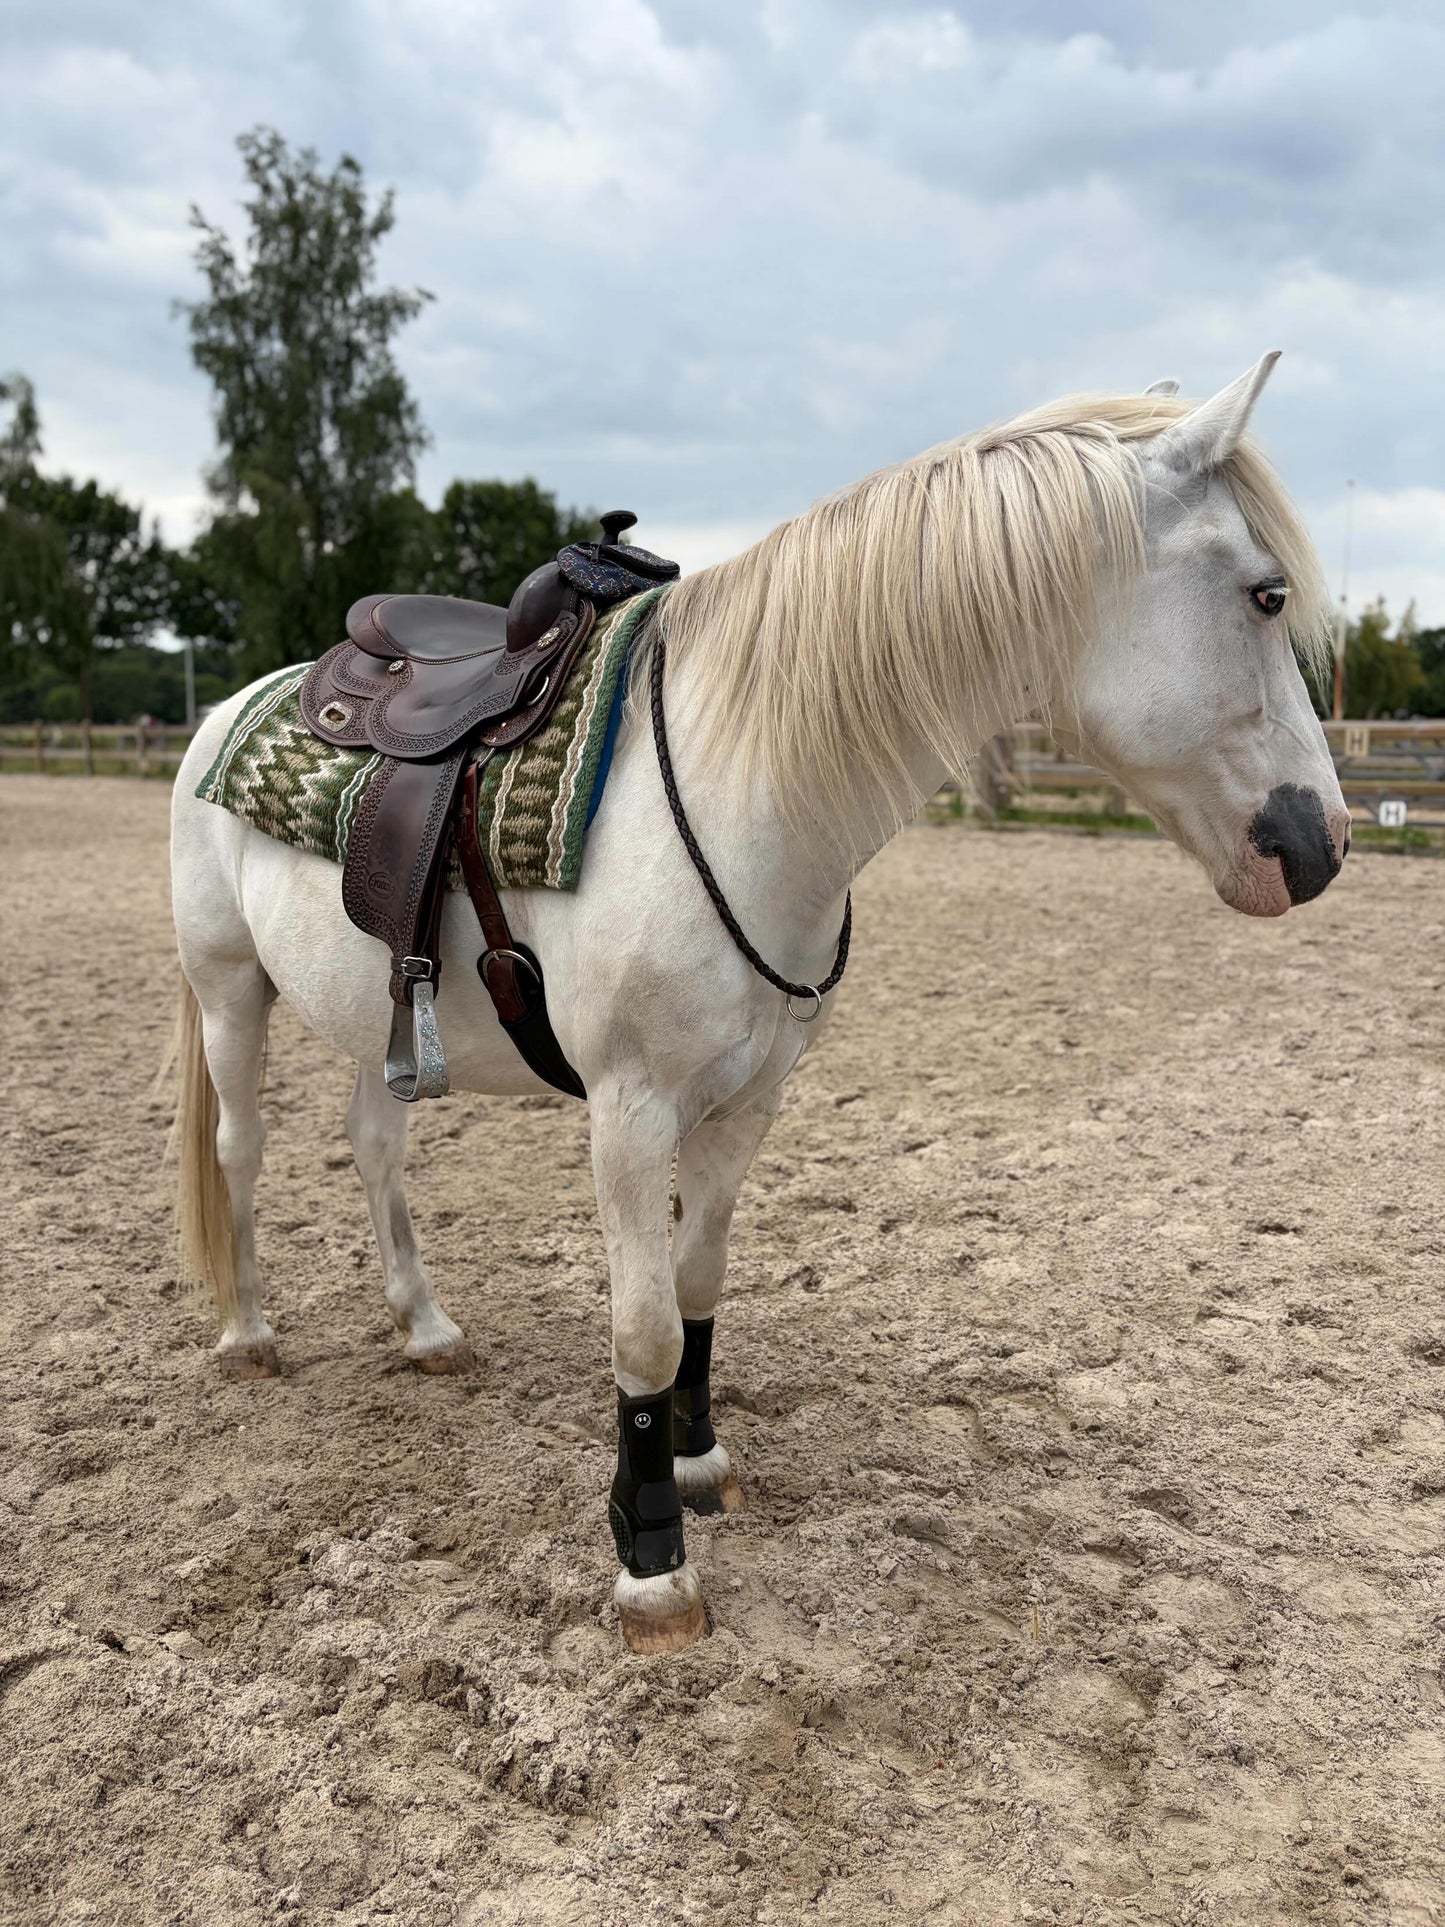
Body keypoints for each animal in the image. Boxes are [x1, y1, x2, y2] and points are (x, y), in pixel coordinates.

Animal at [169, 353, 1349, 1652]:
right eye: (1265, 594)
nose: (1321, 845)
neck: (745, 787)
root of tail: (233, 705)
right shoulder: (627, 1112)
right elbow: (639, 1327)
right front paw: (649, 1558)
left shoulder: (745, 1105)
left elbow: (696, 1288)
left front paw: (696, 1462)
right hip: (228, 992)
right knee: (241, 1149)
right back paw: (248, 1335)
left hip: (376, 1017)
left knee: (373, 1144)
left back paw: (423, 1327)